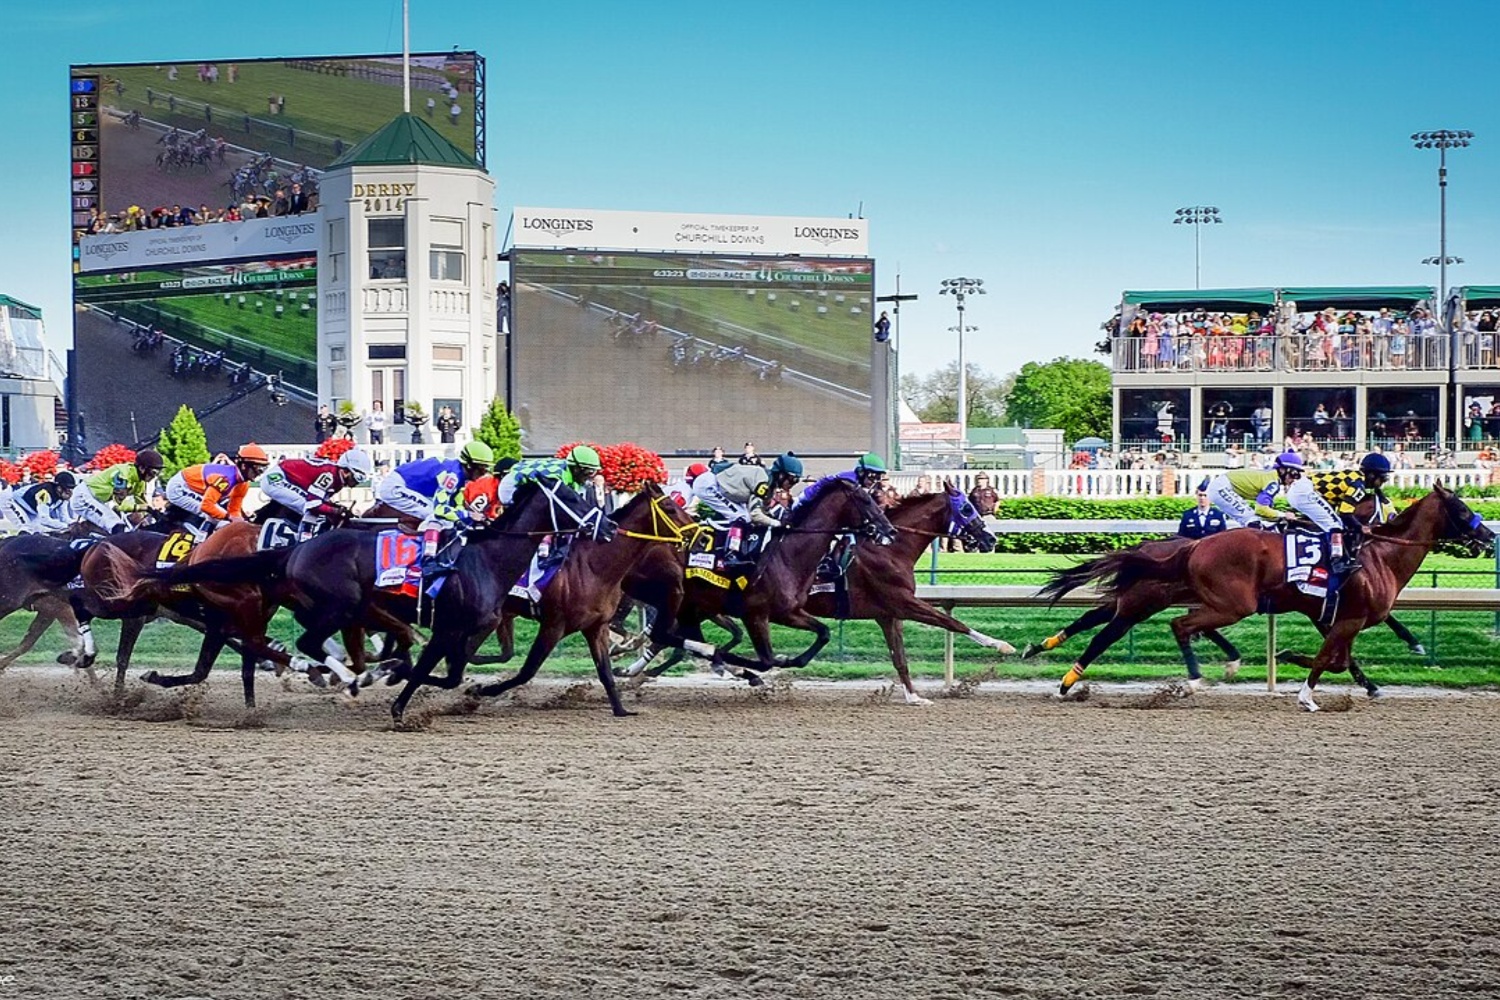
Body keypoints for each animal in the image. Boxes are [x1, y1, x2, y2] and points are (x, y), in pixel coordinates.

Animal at [468, 485, 696, 710]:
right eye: (670, 508)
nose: (699, 534)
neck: (593, 567)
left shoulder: (595, 626)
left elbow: (606, 673)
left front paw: (621, 709)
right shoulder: (553, 625)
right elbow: (527, 671)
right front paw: (482, 690)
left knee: (502, 651)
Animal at [1050, 485, 1494, 710]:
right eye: (1460, 507)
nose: (1488, 535)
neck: (1377, 554)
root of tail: (1194, 546)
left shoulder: (1335, 617)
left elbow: (1340, 660)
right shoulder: (1345, 618)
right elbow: (1329, 660)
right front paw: (1305, 692)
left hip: (1194, 599)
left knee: (1116, 621)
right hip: (1225, 603)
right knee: (1167, 625)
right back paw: (1192, 678)